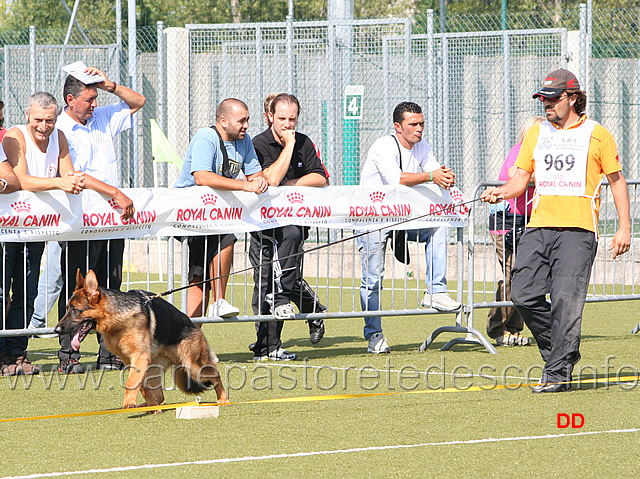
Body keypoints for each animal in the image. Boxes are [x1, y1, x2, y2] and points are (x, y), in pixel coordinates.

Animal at [53, 272, 228, 410]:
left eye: (75, 310)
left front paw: (129, 404)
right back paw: (151, 405)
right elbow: (141, 386)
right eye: (67, 308)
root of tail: (194, 325)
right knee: (159, 396)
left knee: (215, 373)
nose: (56, 330)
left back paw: (223, 399)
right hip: (154, 369)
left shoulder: (139, 357)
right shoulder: (132, 361)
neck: (117, 319)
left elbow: (131, 382)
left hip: (193, 366)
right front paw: (143, 405)